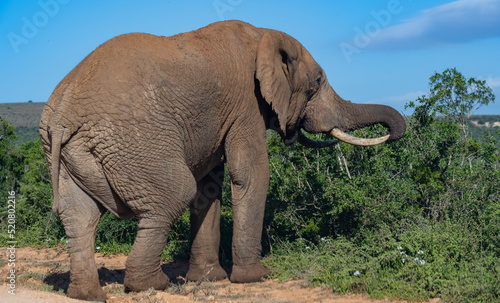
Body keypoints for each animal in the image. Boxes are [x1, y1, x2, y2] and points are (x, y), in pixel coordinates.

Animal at [40, 20, 406, 302]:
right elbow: (251, 174)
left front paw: (209, 279)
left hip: (71, 153)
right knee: (174, 193)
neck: (263, 34)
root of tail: (62, 114)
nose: (391, 135)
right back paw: (152, 284)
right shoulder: (247, 102)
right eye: (317, 83)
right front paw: (256, 277)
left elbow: (210, 186)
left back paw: (86, 294)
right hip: (134, 139)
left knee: (80, 217)